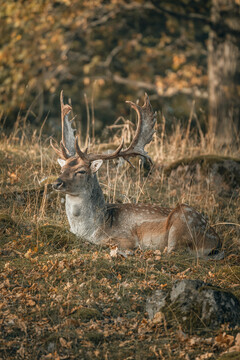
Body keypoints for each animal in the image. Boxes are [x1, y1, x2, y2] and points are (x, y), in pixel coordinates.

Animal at [51, 91, 222, 258]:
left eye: (81, 171)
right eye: (62, 168)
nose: (56, 183)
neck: (91, 229)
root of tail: (216, 241)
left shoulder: (125, 237)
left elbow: (110, 244)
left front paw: (127, 251)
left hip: (182, 221)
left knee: (173, 251)